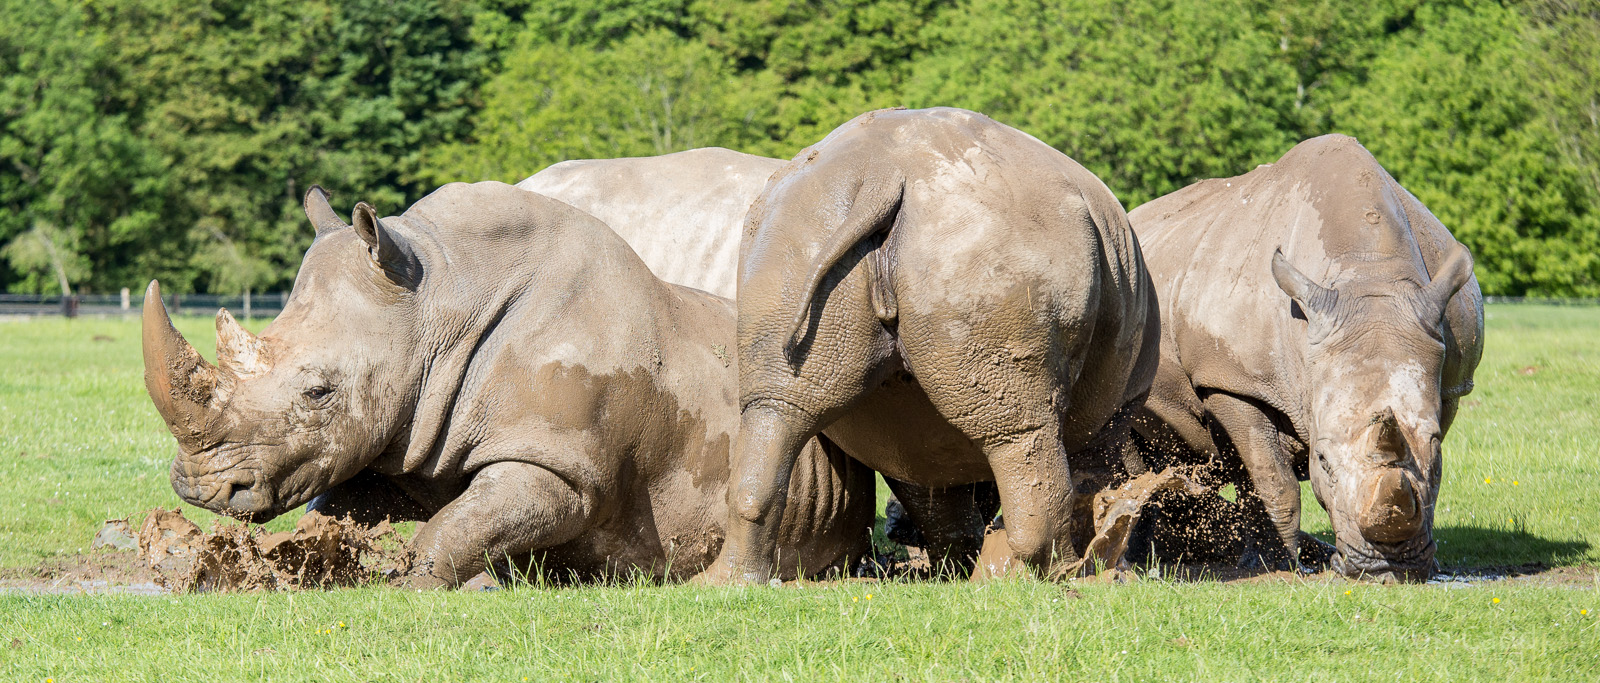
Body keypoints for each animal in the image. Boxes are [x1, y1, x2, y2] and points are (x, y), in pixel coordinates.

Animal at [141, 181, 874, 588]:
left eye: (319, 391)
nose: (200, 488)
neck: (438, 297)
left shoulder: (562, 465)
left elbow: (460, 524)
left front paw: (406, 585)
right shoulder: (396, 439)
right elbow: (346, 506)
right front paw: (303, 563)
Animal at [701, 107, 1160, 583]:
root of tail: (881, 175)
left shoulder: (908, 438)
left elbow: (929, 488)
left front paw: (951, 569)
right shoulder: (1117, 412)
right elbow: (1092, 476)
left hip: (792, 234)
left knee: (776, 407)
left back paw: (728, 582)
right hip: (993, 247)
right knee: (1022, 433)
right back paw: (1060, 575)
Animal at [1128, 134, 1483, 581]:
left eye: (1438, 461)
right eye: (1323, 460)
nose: (1386, 567)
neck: (1367, 272)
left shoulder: (1451, 380)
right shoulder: (1232, 380)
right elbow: (1270, 476)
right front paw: (1278, 564)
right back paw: (1143, 557)